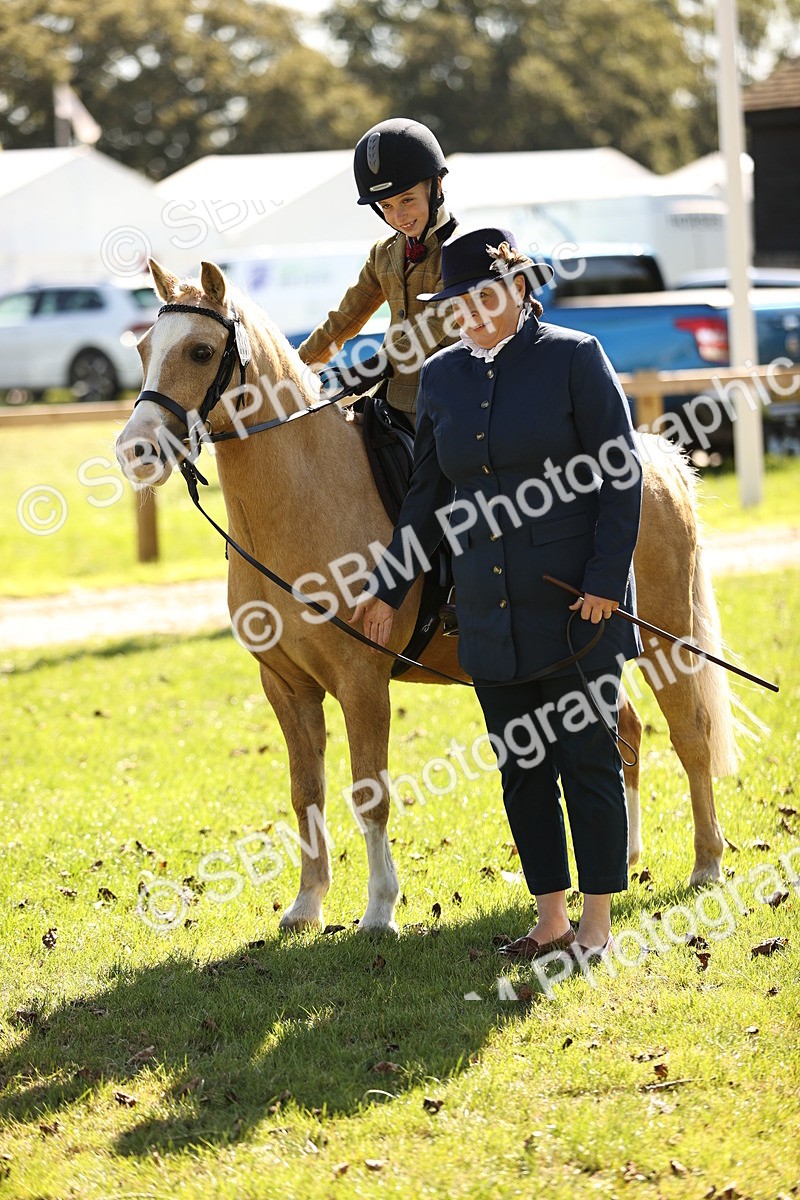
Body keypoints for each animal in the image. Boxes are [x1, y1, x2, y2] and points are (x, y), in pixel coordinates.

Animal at [115, 259, 738, 934]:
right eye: (144, 350)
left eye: (201, 351)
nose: (135, 451)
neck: (304, 497)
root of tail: (651, 454)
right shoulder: (286, 686)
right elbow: (306, 793)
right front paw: (306, 905)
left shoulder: (362, 680)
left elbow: (369, 793)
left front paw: (379, 910)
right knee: (625, 733)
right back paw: (621, 858)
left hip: (665, 639)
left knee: (690, 735)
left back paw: (707, 864)